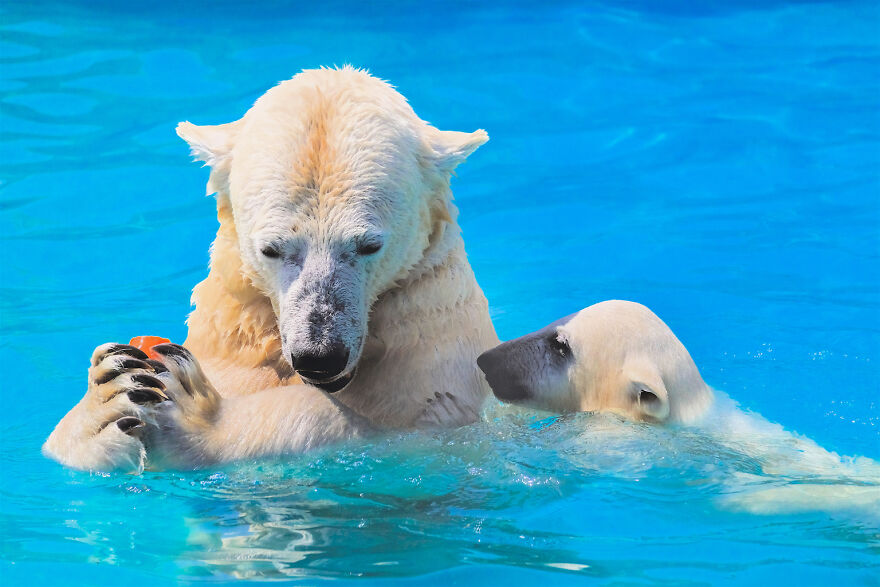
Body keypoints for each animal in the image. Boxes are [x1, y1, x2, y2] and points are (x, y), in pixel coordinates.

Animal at [43, 66, 499, 472]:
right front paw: (110, 390)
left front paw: (198, 419)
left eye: (369, 245)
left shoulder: (436, 372)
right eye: (272, 249)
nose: (320, 356)